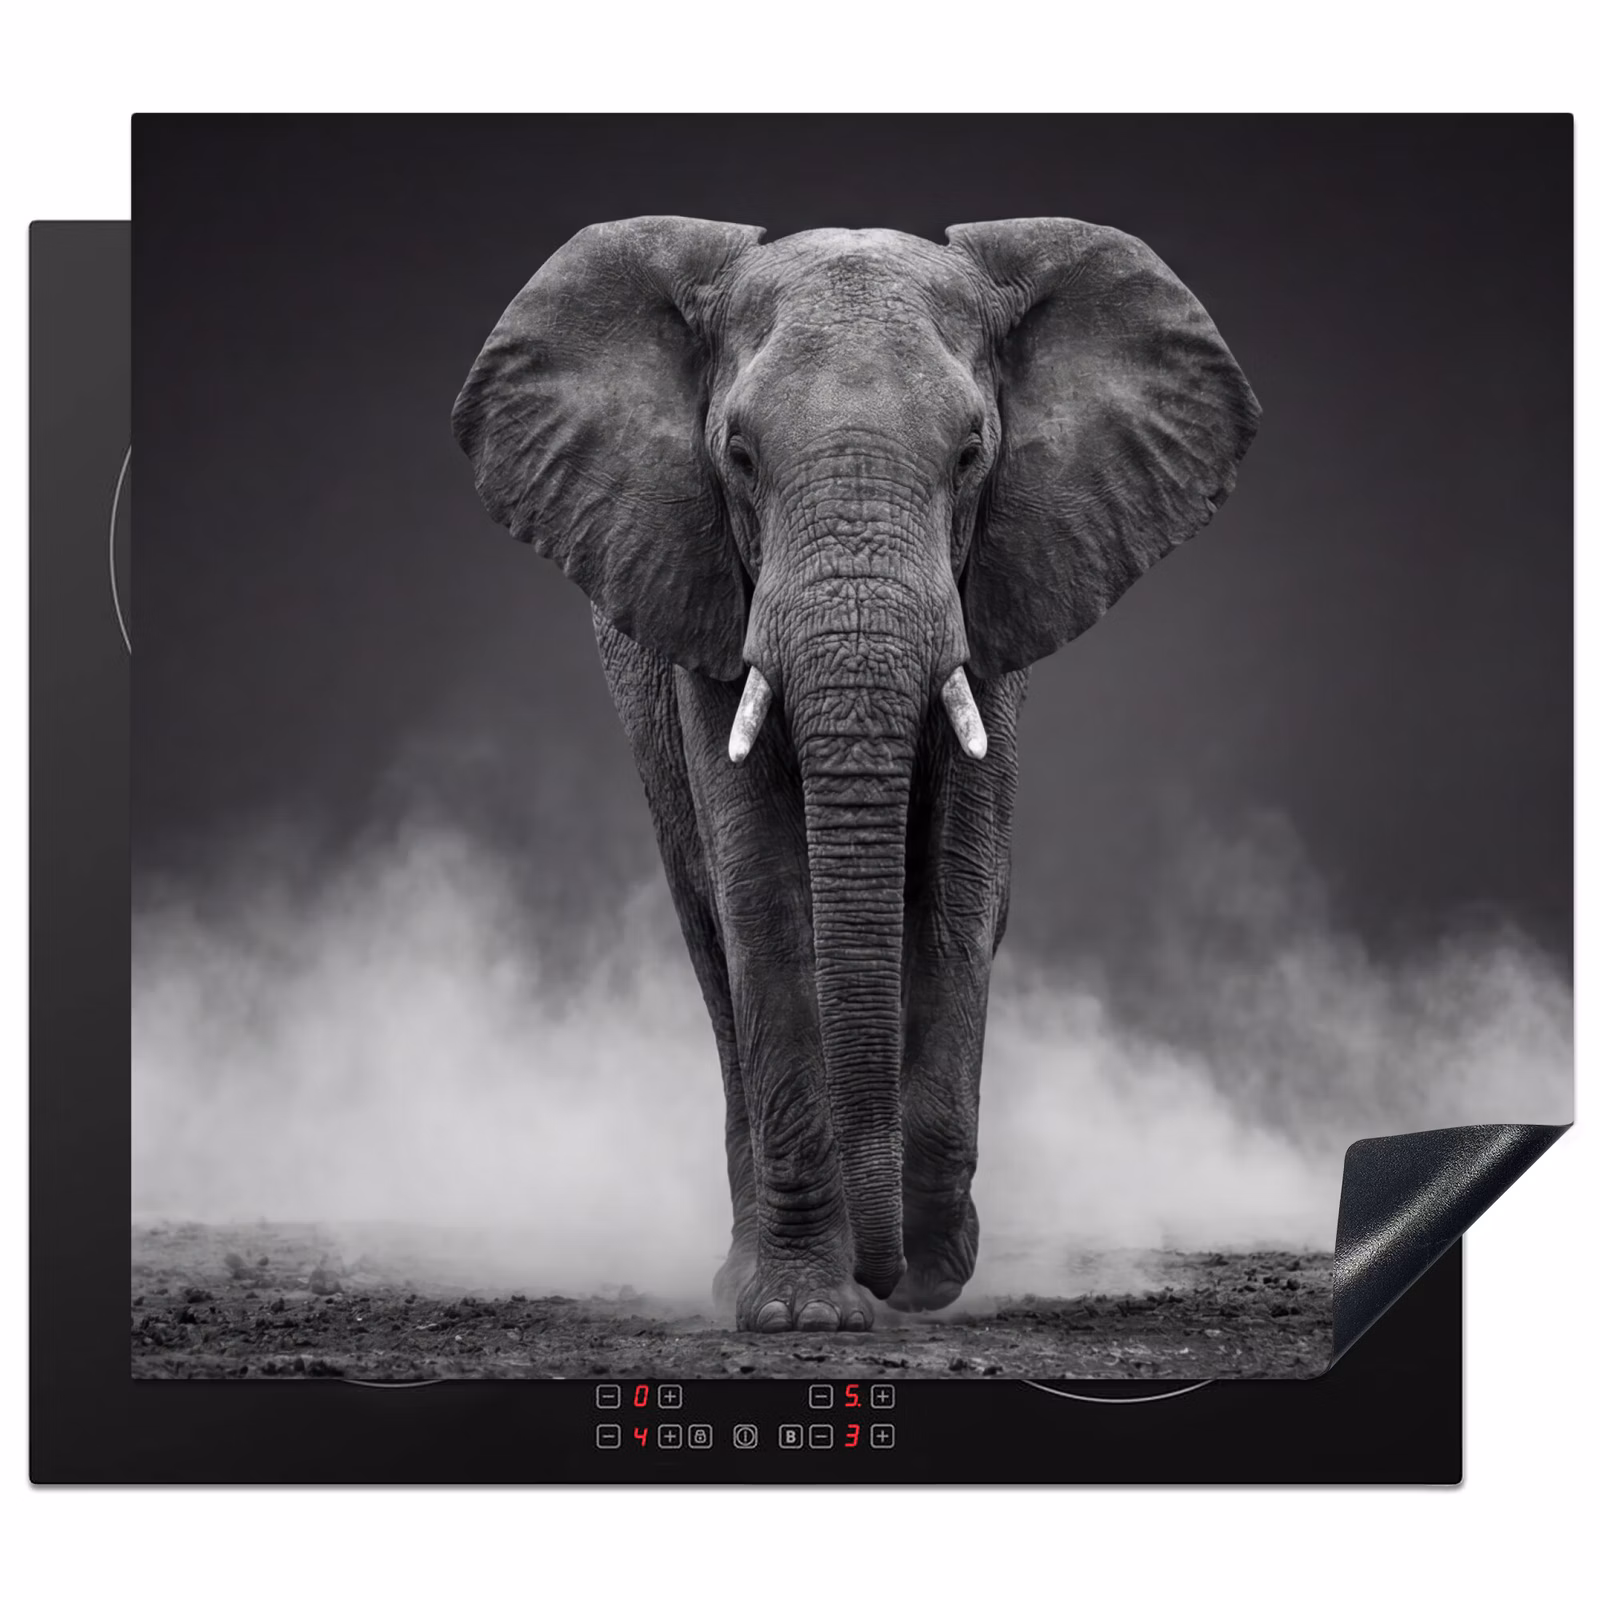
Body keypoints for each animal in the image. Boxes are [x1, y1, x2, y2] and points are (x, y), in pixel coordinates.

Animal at [452, 216, 1258, 1332]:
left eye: (970, 454)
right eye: (739, 456)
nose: (888, 1275)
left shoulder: (995, 596)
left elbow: (958, 892)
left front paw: (928, 1275)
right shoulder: (708, 599)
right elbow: (763, 900)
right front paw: (803, 1313)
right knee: (712, 945)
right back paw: (742, 1274)